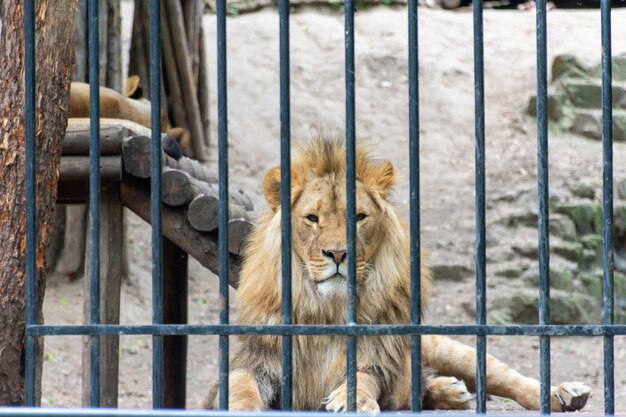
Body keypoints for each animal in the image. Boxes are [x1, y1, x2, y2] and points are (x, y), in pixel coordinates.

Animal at [206, 136, 588, 410]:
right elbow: (239, 387)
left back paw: (564, 393)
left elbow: (364, 378)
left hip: (447, 348)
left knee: (507, 378)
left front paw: (353, 400)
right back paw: (450, 392)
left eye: (359, 217)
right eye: (312, 218)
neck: (327, 311)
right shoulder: (253, 360)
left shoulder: (381, 363)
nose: (338, 253)